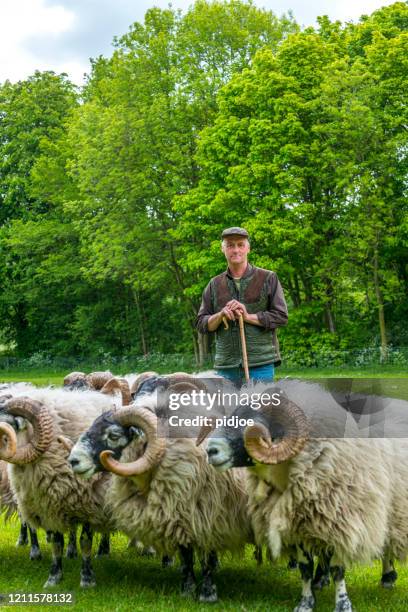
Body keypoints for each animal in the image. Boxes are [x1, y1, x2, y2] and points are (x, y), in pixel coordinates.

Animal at [0, 388, 118, 588]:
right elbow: (56, 543)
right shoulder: (48, 506)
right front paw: (54, 578)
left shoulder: (91, 507)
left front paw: (87, 579)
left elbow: (85, 542)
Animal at [68, 378, 253, 604]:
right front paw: (187, 589)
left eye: (113, 435)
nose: (73, 460)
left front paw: (207, 594)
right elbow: (186, 556)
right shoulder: (179, 515)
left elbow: (206, 558)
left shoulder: (209, 517)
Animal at [203, 378, 408, 612]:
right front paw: (306, 602)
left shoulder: (343, 523)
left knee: (387, 544)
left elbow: (338, 569)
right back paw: (322, 579)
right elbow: (305, 568)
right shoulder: (298, 527)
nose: (210, 450)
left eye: (252, 424)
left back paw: (387, 576)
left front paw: (342, 604)